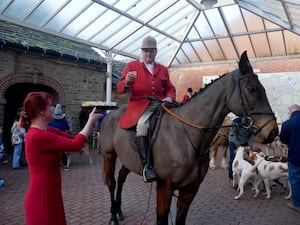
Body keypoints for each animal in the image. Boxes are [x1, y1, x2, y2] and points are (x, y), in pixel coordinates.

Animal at [99, 51, 278, 225]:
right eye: (252, 89)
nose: (273, 131)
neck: (186, 137)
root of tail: (111, 113)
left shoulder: (190, 189)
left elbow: (181, 219)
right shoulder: (164, 188)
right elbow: (161, 219)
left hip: (127, 159)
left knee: (121, 178)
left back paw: (119, 210)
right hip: (109, 156)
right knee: (112, 183)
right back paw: (113, 216)